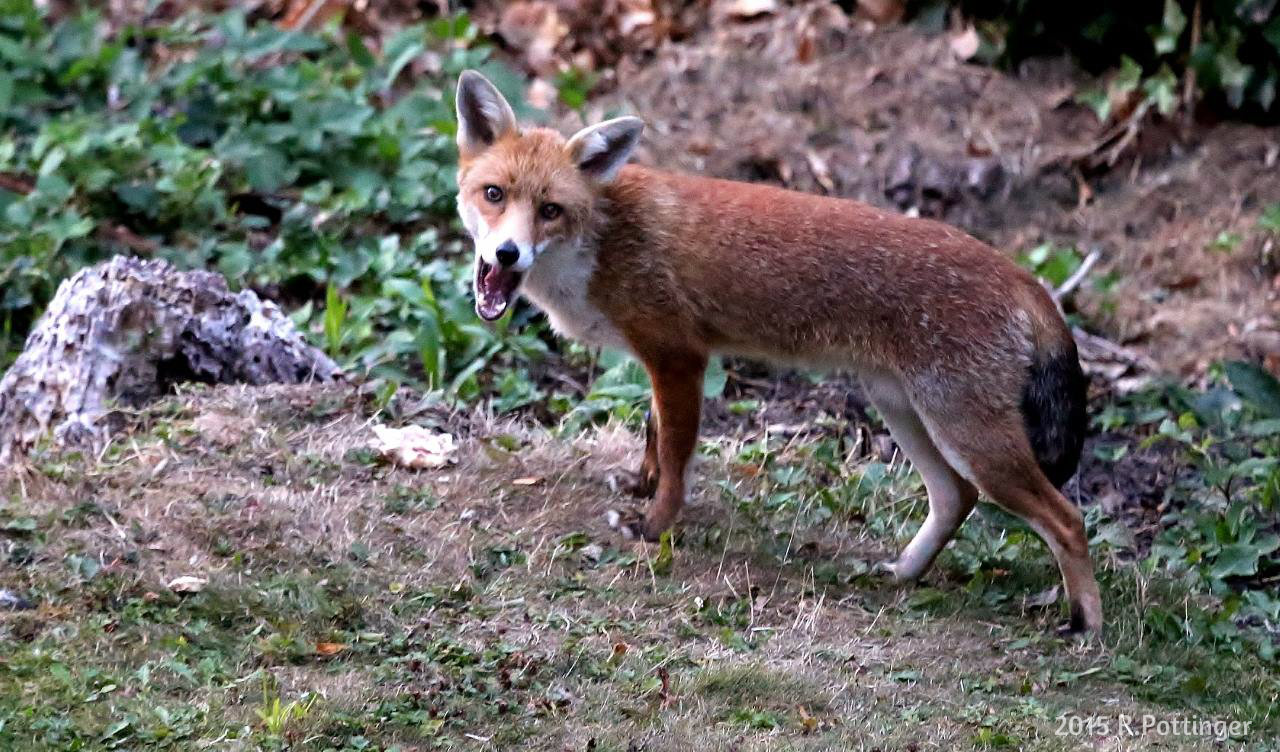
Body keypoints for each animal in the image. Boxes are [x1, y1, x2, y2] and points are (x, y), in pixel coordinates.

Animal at [453, 70, 1102, 634]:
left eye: (550, 210)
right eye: (494, 194)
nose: (507, 254)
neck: (605, 238)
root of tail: (1023, 277)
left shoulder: (679, 355)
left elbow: (677, 455)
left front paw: (654, 525)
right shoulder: (661, 360)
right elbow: (654, 435)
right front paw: (640, 487)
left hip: (968, 433)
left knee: (1067, 520)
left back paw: (1083, 623)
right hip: (904, 409)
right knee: (954, 498)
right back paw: (901, 573)